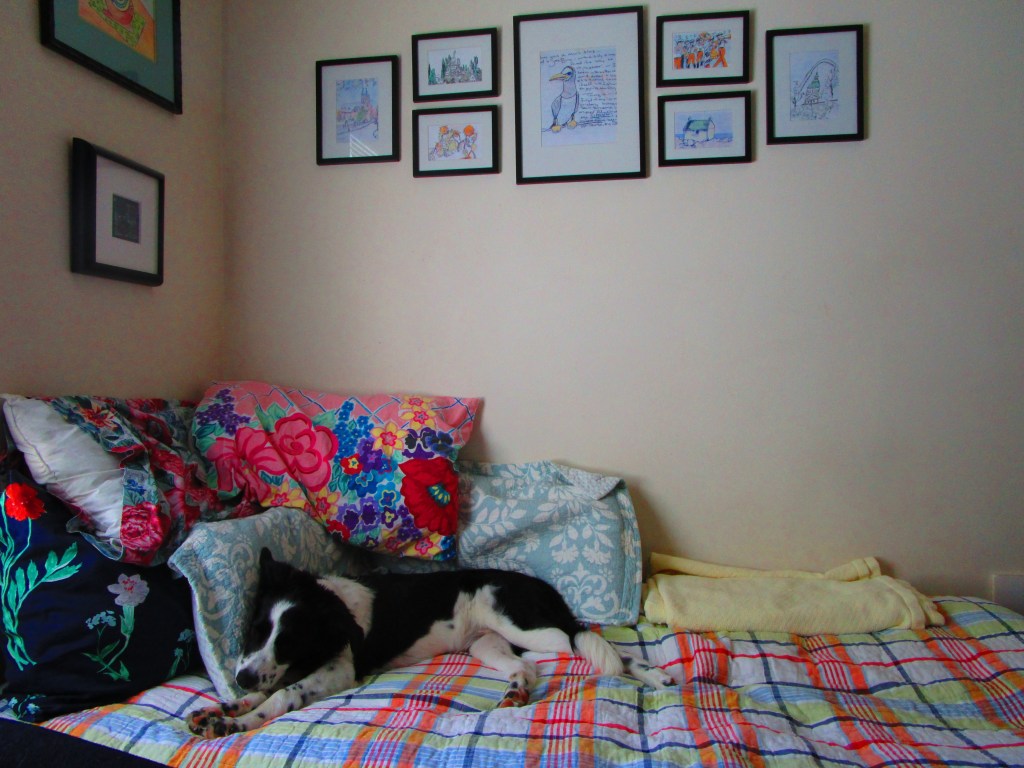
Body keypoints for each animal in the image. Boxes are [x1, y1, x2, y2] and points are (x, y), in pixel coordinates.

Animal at [188, 548, 672, 738]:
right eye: (255, 630)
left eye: (289, 641)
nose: (241, 677)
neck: (327, 607)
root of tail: (544, 588)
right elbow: (269, 687)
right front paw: (225, 708)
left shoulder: (338, 670)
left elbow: (282, 693)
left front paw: (237, 723)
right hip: (488, 645)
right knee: (528, 666)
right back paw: (516, 693)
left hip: (531, 627)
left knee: (591, 642)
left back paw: (655, 676)